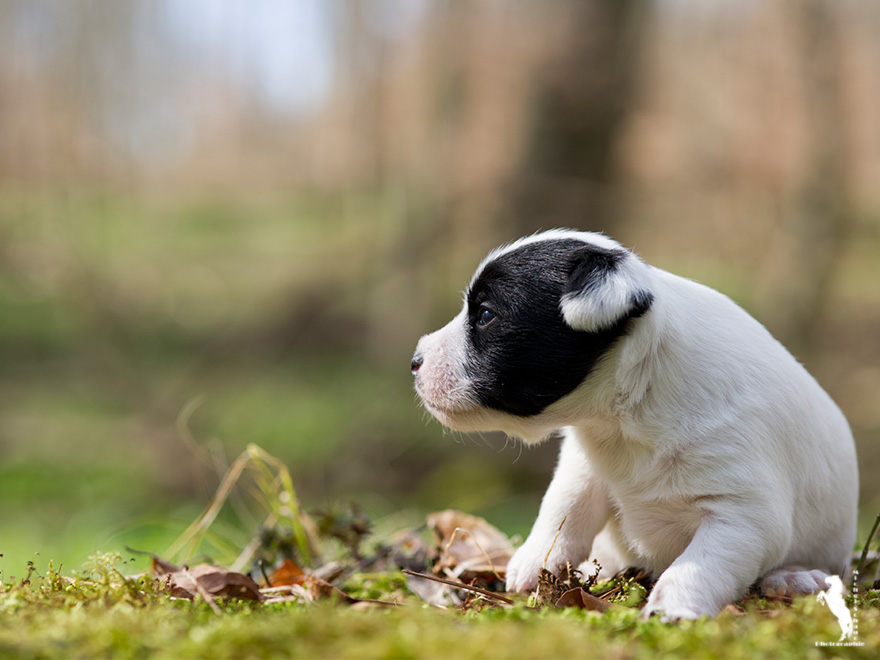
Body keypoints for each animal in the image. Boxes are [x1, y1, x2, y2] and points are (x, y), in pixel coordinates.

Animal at [412, 231, 860, 620]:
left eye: (486, 314)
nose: (414, 362)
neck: (628, 416)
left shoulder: (743, 514)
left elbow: (697, 565)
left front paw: (673, 609)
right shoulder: (583, 466)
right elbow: (562, 508)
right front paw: (534, 562)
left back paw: (794, 578)